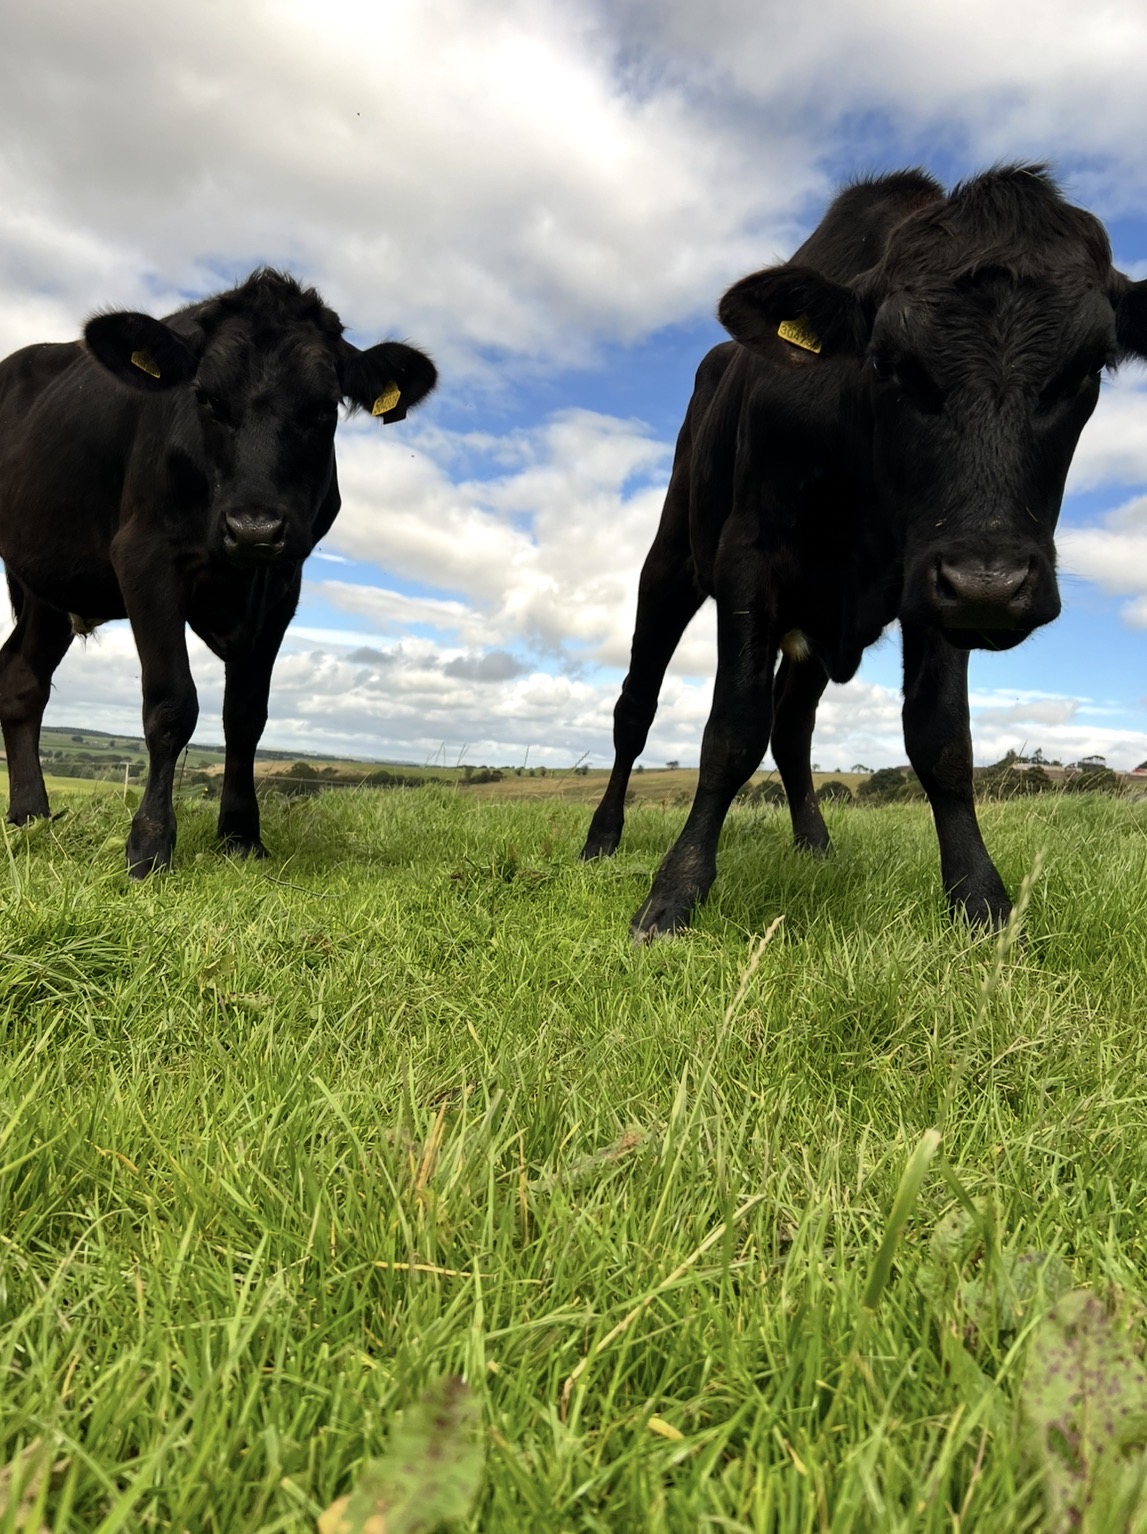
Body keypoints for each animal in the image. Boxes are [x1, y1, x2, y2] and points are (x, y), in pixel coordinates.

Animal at [0, 269, 436, 875]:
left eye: (325, 407)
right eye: (205, 397)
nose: (254, 528)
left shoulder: (282, 580)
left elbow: (246, 715)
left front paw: (241, 834)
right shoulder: (145, 555)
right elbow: (171, 704)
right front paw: (150, 846)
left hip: (49, 584)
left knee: (21, 676)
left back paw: (30, 817)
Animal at [582, 166, 1147, 941]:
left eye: (1088, 370)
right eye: (889, 363)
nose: (991, 582)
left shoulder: (930, 584)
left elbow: (941, 741)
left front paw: (981, 901)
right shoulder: (748, 559)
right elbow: (730, 730)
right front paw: (675, 891)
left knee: (792, 727)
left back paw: (814, 842)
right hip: (669, 562)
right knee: (635, 708)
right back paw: (601, 838)